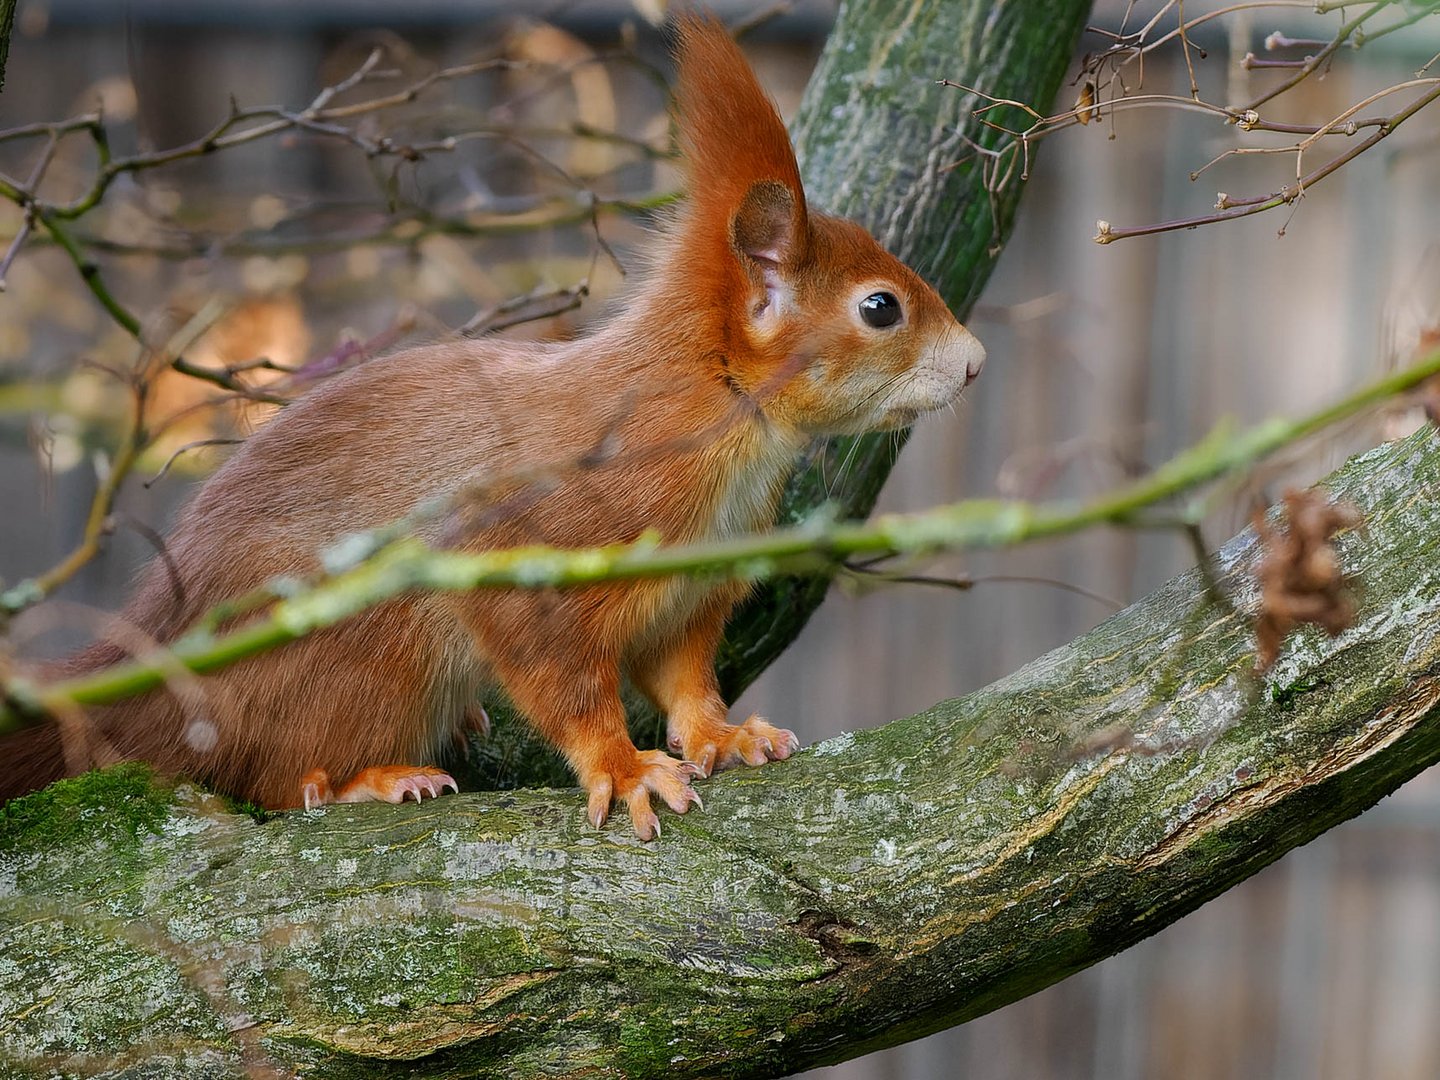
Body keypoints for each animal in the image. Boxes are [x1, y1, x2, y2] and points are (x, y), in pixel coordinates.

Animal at [0, 19, 984, 846]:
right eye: (881, 308)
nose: (976, 364)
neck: (715, 415)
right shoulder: (532, 554)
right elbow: (564, 682)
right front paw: (624, 767)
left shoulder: (690, 589)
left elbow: (683, 675)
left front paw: (723, 734)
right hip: (361, 652)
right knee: (273, 779)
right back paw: (368, 780)